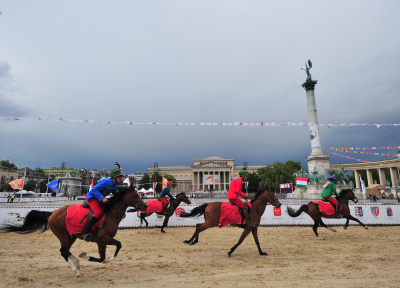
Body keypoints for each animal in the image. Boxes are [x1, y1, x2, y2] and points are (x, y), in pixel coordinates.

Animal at [0, 180, 147, 276]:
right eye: (136, 195)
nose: (145, 206)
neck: (110, 213)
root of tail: (52, 213)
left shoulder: (102, 242)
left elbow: (102, 258)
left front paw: (88, 257)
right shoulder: (103, 239)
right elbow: (117, 246)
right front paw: (93, 258)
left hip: (71, 237)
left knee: (65, 251)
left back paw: (76, 262)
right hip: (64, 236)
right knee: (63, 251)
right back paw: (76, 270)